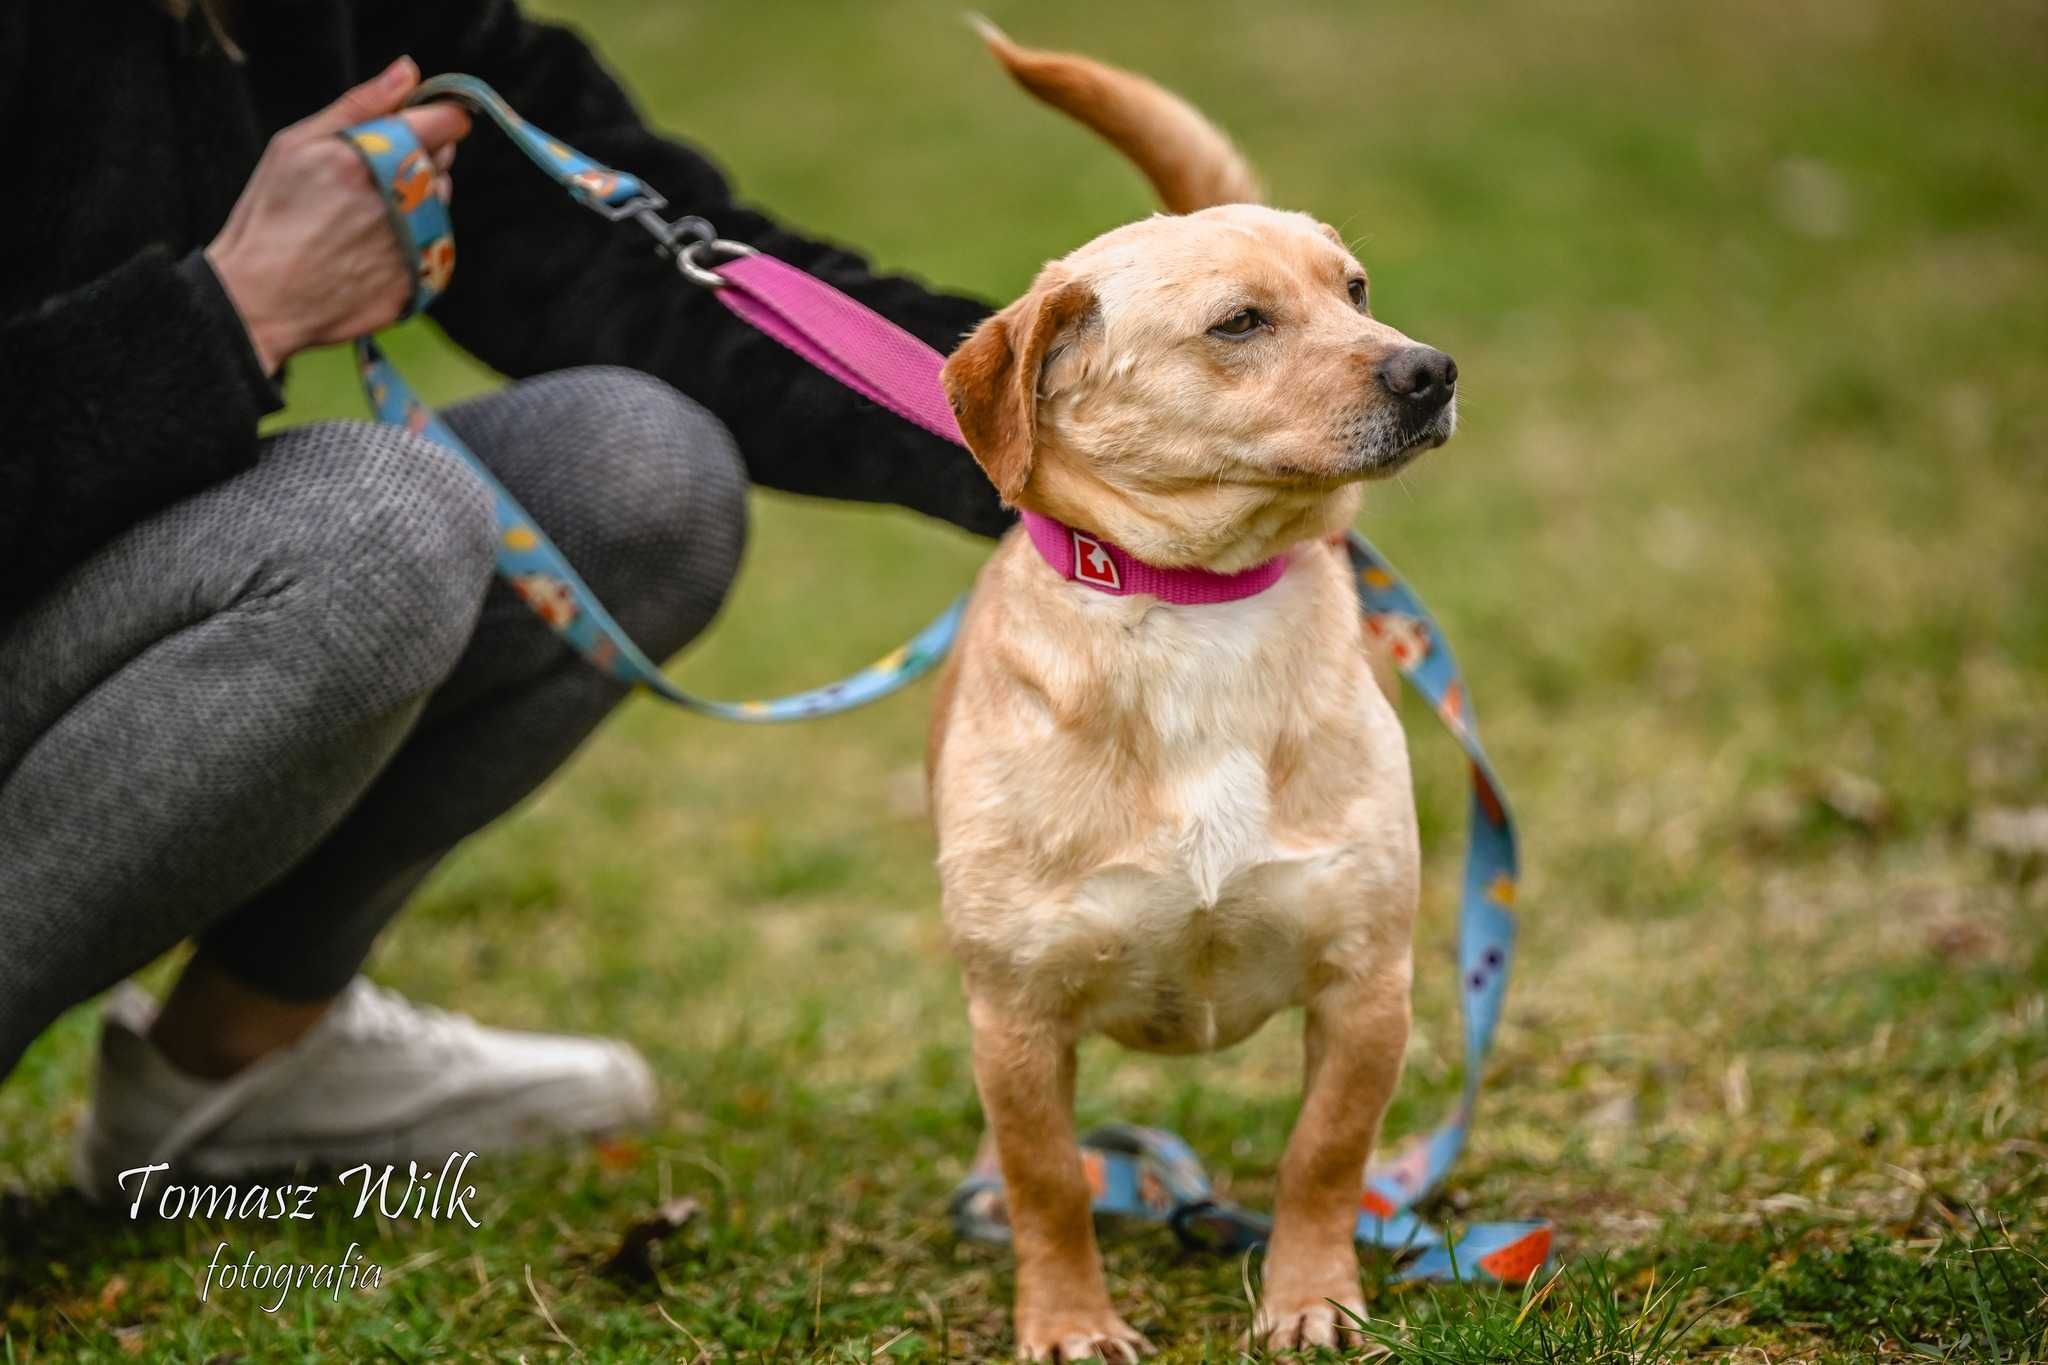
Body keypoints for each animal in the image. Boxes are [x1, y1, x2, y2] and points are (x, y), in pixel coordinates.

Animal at [929, 26, 1458, 1358]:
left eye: (1354, 290)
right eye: (1238, 324)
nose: (1430, 371)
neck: (1194, 609)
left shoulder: (1366, 985)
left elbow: (1321, 1158)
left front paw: (1309, 1299)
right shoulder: (1016, 1017)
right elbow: (1051, 1182)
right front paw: (1068, 1320)